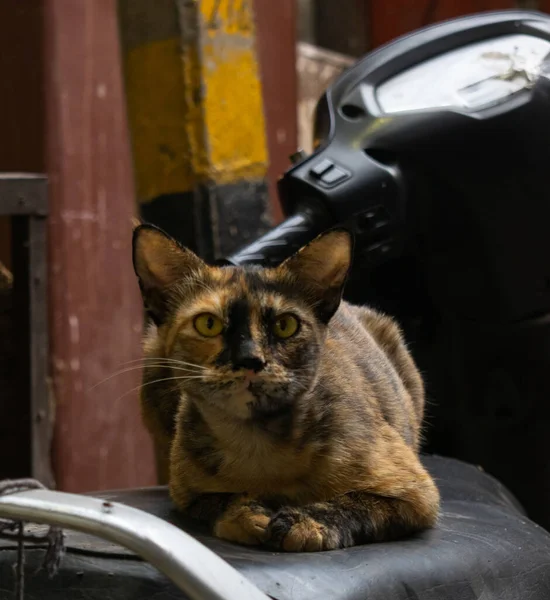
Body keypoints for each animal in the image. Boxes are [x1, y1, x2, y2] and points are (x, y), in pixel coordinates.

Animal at [133, 223, 440, 552]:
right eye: (208, 324)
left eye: (285, 325)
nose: (250, 359)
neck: (256, 443)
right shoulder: (185, 494)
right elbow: (220, 500)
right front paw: (249, 515)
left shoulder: (417, 493)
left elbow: (354, 503)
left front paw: (302, 523)